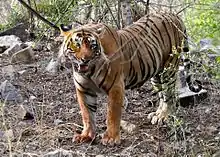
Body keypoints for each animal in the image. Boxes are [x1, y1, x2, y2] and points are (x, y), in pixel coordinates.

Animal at [59, 12, 202, 145]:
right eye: (76, 46)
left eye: (92, 46)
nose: (85, 59)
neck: (89, 71)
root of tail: (173, 14)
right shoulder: (83, 89)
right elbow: (87, 114)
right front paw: (86, 135)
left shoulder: (116, 86)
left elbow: (112, 114)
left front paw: (111, 138)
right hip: (157, 74)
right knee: (163, 95)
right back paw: (157, 115)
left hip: (169, 67)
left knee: (169, 95)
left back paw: (163, 116)